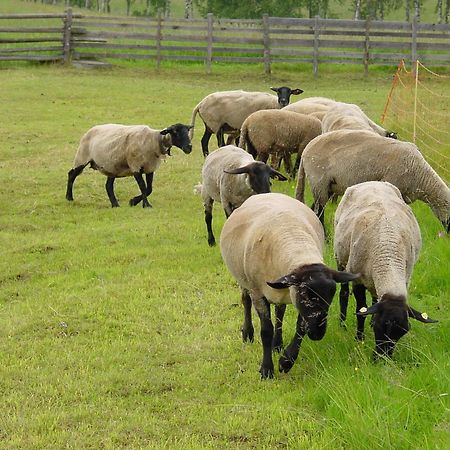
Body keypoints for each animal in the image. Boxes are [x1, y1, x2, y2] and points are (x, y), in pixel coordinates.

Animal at [220, 192, 360, 378]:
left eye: (331, 296)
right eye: (306, 295)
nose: (318, 334)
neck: (296, 244)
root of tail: (266, 193)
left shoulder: (294, 295)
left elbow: (300, 328)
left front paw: (286, 362)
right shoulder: (259, 292)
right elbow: (266, 330)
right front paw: (266, 370)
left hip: (281, 291)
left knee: (280, 313)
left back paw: (277, 344)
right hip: (244, 279)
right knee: (246, 301)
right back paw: (248, 334)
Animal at [296, 128, 450, 230]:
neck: (421, 177)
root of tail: (306, 150)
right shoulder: (392, 182)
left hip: (327, 186)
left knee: (314, 209)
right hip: (319, 182)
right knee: (319, 211)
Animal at [334, 180, 436, 358]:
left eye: (403, 332)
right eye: (379, 327)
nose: (381, 358)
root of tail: (372, 182)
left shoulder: (405, 278)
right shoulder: (358, 280)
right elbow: (360, 311)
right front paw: (359, 339)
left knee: (375, 297)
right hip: (341, 259)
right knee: (344, 293)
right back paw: (342, 323)